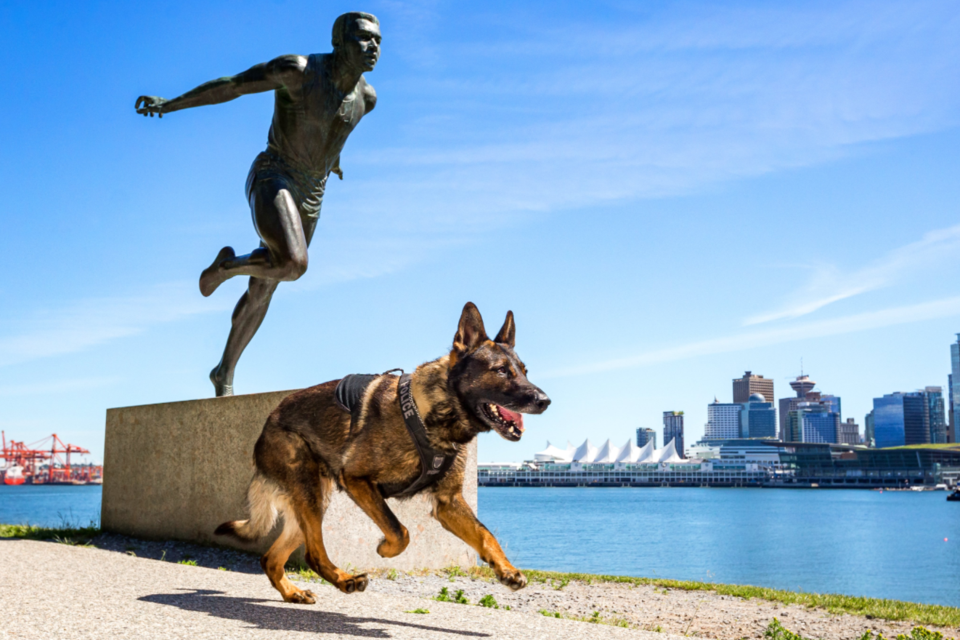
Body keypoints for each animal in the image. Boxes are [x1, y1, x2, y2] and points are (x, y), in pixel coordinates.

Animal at [215, 302, 552, 604]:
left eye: (524, 371)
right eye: (501, 371)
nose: (545, 400)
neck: (428, 413)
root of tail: (269, 420)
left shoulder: (449, 503)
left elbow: (485, 535)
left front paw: (506, 569)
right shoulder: (357, 480)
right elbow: (400, 530)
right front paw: (384, 549)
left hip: (313, 501)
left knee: (272, 559)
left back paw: (294, 592)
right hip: (310, 492)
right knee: (313, 553)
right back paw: (345, 580)